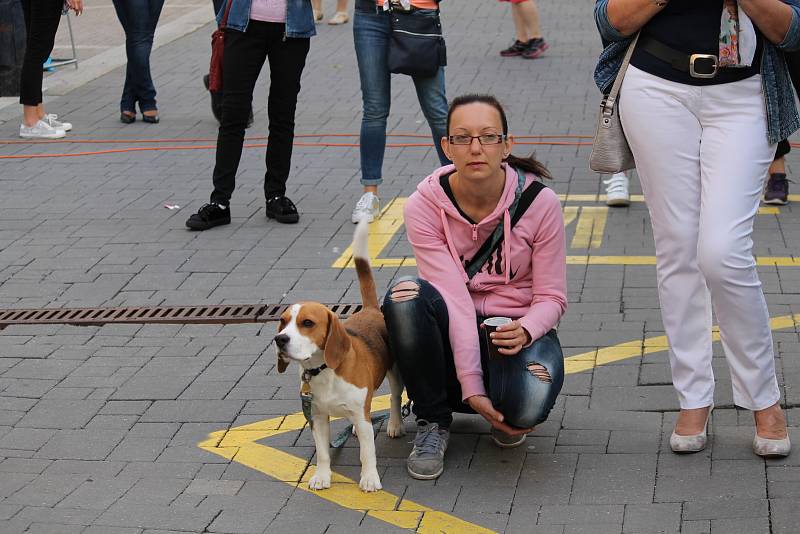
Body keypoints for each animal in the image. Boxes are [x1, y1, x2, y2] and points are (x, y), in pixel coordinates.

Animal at [274, 219, 404, 494]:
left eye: (307, 323)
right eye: (283, 321)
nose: (279, 339)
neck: (323, 370)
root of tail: (370, 309)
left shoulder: (361, 416)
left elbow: (367, 452)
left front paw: (369, 479)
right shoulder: (317, 417)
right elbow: (323, 453)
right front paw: (322, 477)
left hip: (396, 372)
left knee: (394, 398)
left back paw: (395, 424)